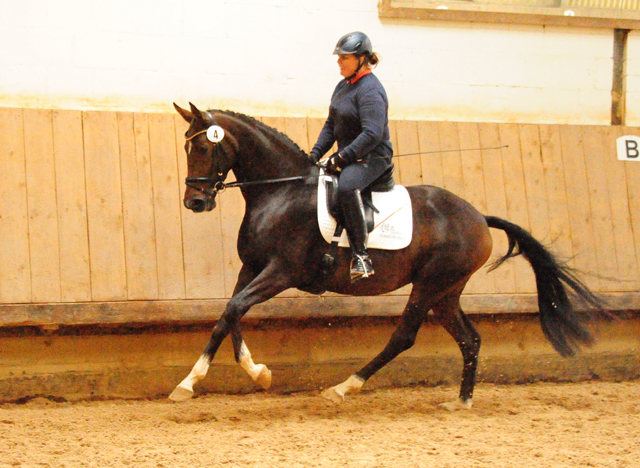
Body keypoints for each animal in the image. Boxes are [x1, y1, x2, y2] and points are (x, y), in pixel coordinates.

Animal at [168, 102, 604, 410]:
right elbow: (230, 314)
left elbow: (232, 310)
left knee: (404, 337)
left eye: (203, 146)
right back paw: (461, 401)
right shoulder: (252, 267)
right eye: (187, 147)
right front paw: (254, 373)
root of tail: (478, 216)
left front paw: (193, 382)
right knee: (470, 339)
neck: (282, 191)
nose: (194, 202)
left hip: (430, 284)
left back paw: (345, 387)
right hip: (447, 291)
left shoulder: (280, 272)